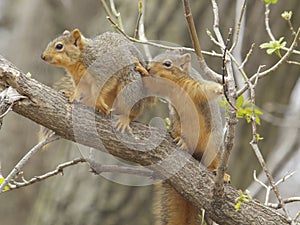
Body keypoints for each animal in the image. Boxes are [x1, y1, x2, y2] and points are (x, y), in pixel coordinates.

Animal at [135, 51, 229, 225]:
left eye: (167, 63)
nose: (149, 67)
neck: (174, 85)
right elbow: (152, 86)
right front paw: (142, 70)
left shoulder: (195, 86)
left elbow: (207, 89)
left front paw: (220, 88)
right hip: (178, 127)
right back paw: (181, 141)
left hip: (213, 144)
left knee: (214, 161)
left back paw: (220, 173)